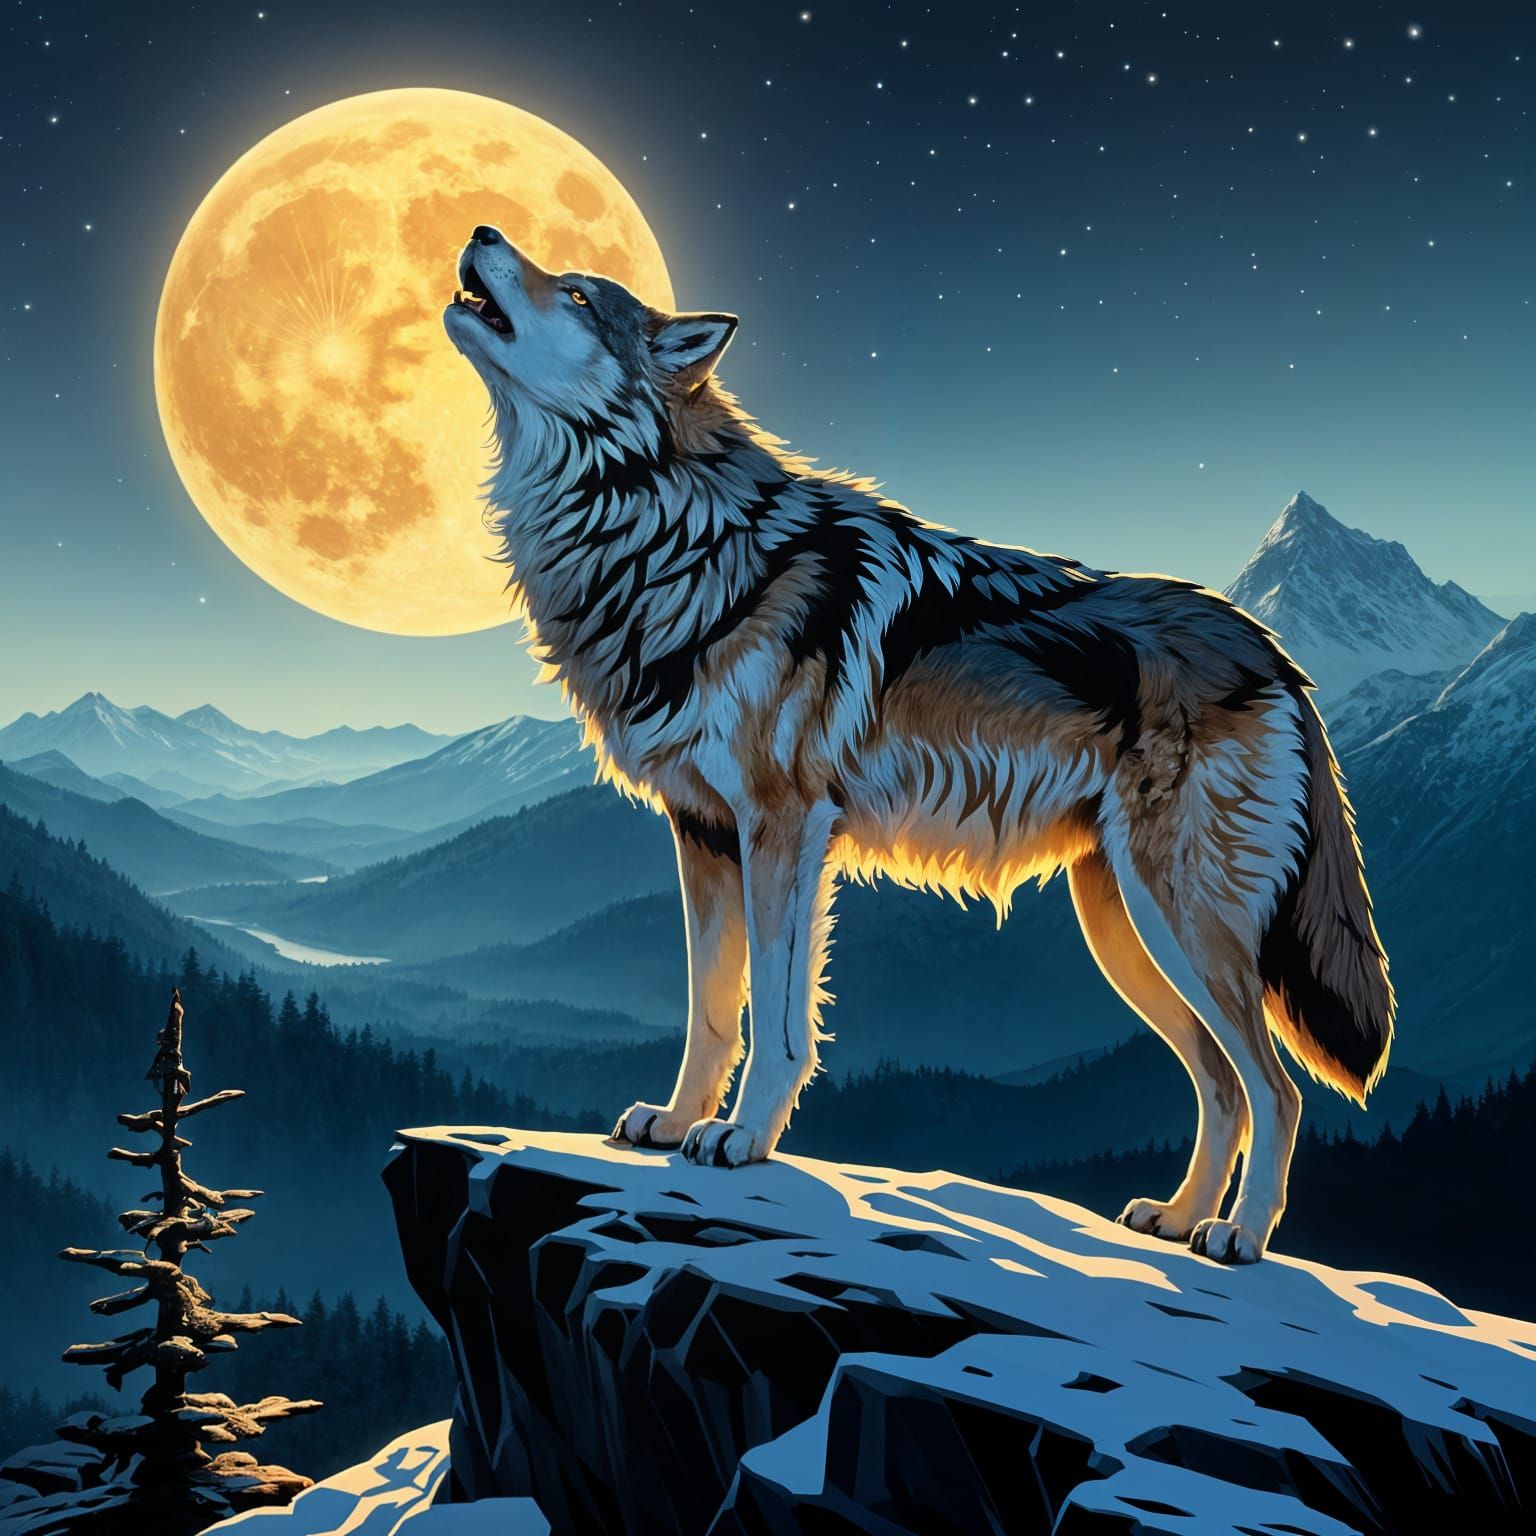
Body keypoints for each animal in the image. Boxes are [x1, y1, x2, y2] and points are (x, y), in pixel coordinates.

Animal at [444, 224, 1394, 1264]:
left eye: (576, 293)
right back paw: (1176, 1219)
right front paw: (675, 1120)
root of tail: (1273, 651)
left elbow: (777, 1017)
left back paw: (1240, 1236)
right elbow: (710, 1011)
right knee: (1222, 1083)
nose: (481, 230)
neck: (665, 531)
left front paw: (741, 1136)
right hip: (1123, 928)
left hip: (1179, 920)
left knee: (1279, 1089)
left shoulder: (783, 828)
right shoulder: (701, 832)